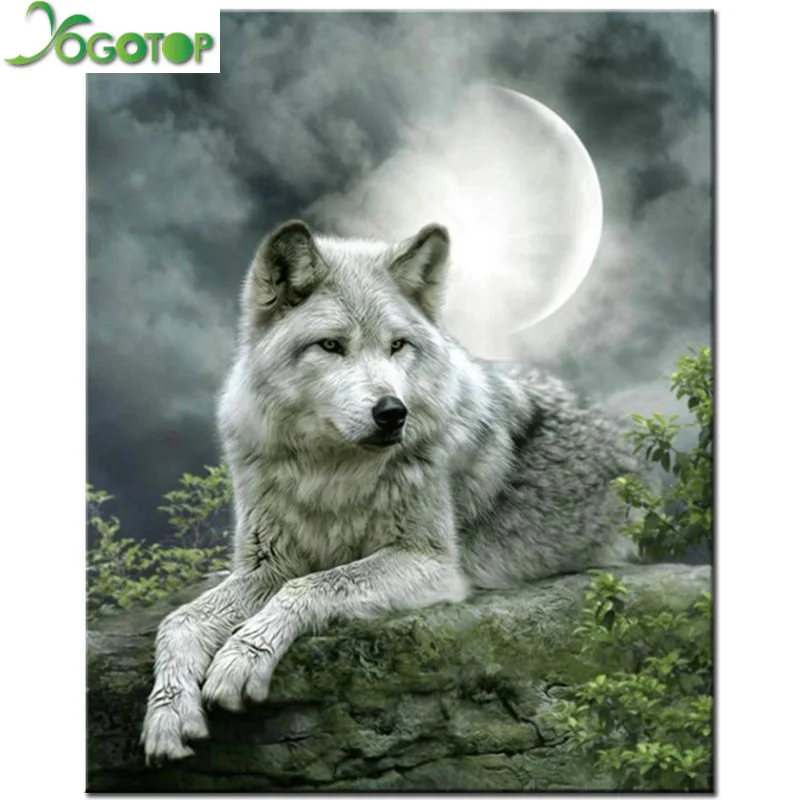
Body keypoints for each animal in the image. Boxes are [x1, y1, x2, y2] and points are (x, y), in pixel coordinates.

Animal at [141, 219, 639, 762]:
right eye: (331, 346)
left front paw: (241, 657)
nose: (392, 412)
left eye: (397, 346)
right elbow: (179, 621)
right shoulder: (266, 565)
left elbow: (312, 586)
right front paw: (168, 713)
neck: (329, 473)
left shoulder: (431, 563)